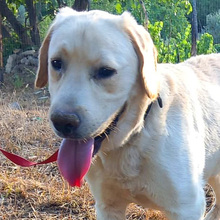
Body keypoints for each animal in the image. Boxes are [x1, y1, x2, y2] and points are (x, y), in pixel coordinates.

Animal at [35, 7, 220, 220]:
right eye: (56, 63)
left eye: (106, 71)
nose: (63, 122)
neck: (137, 135)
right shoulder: (107, 206)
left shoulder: (186, 207)